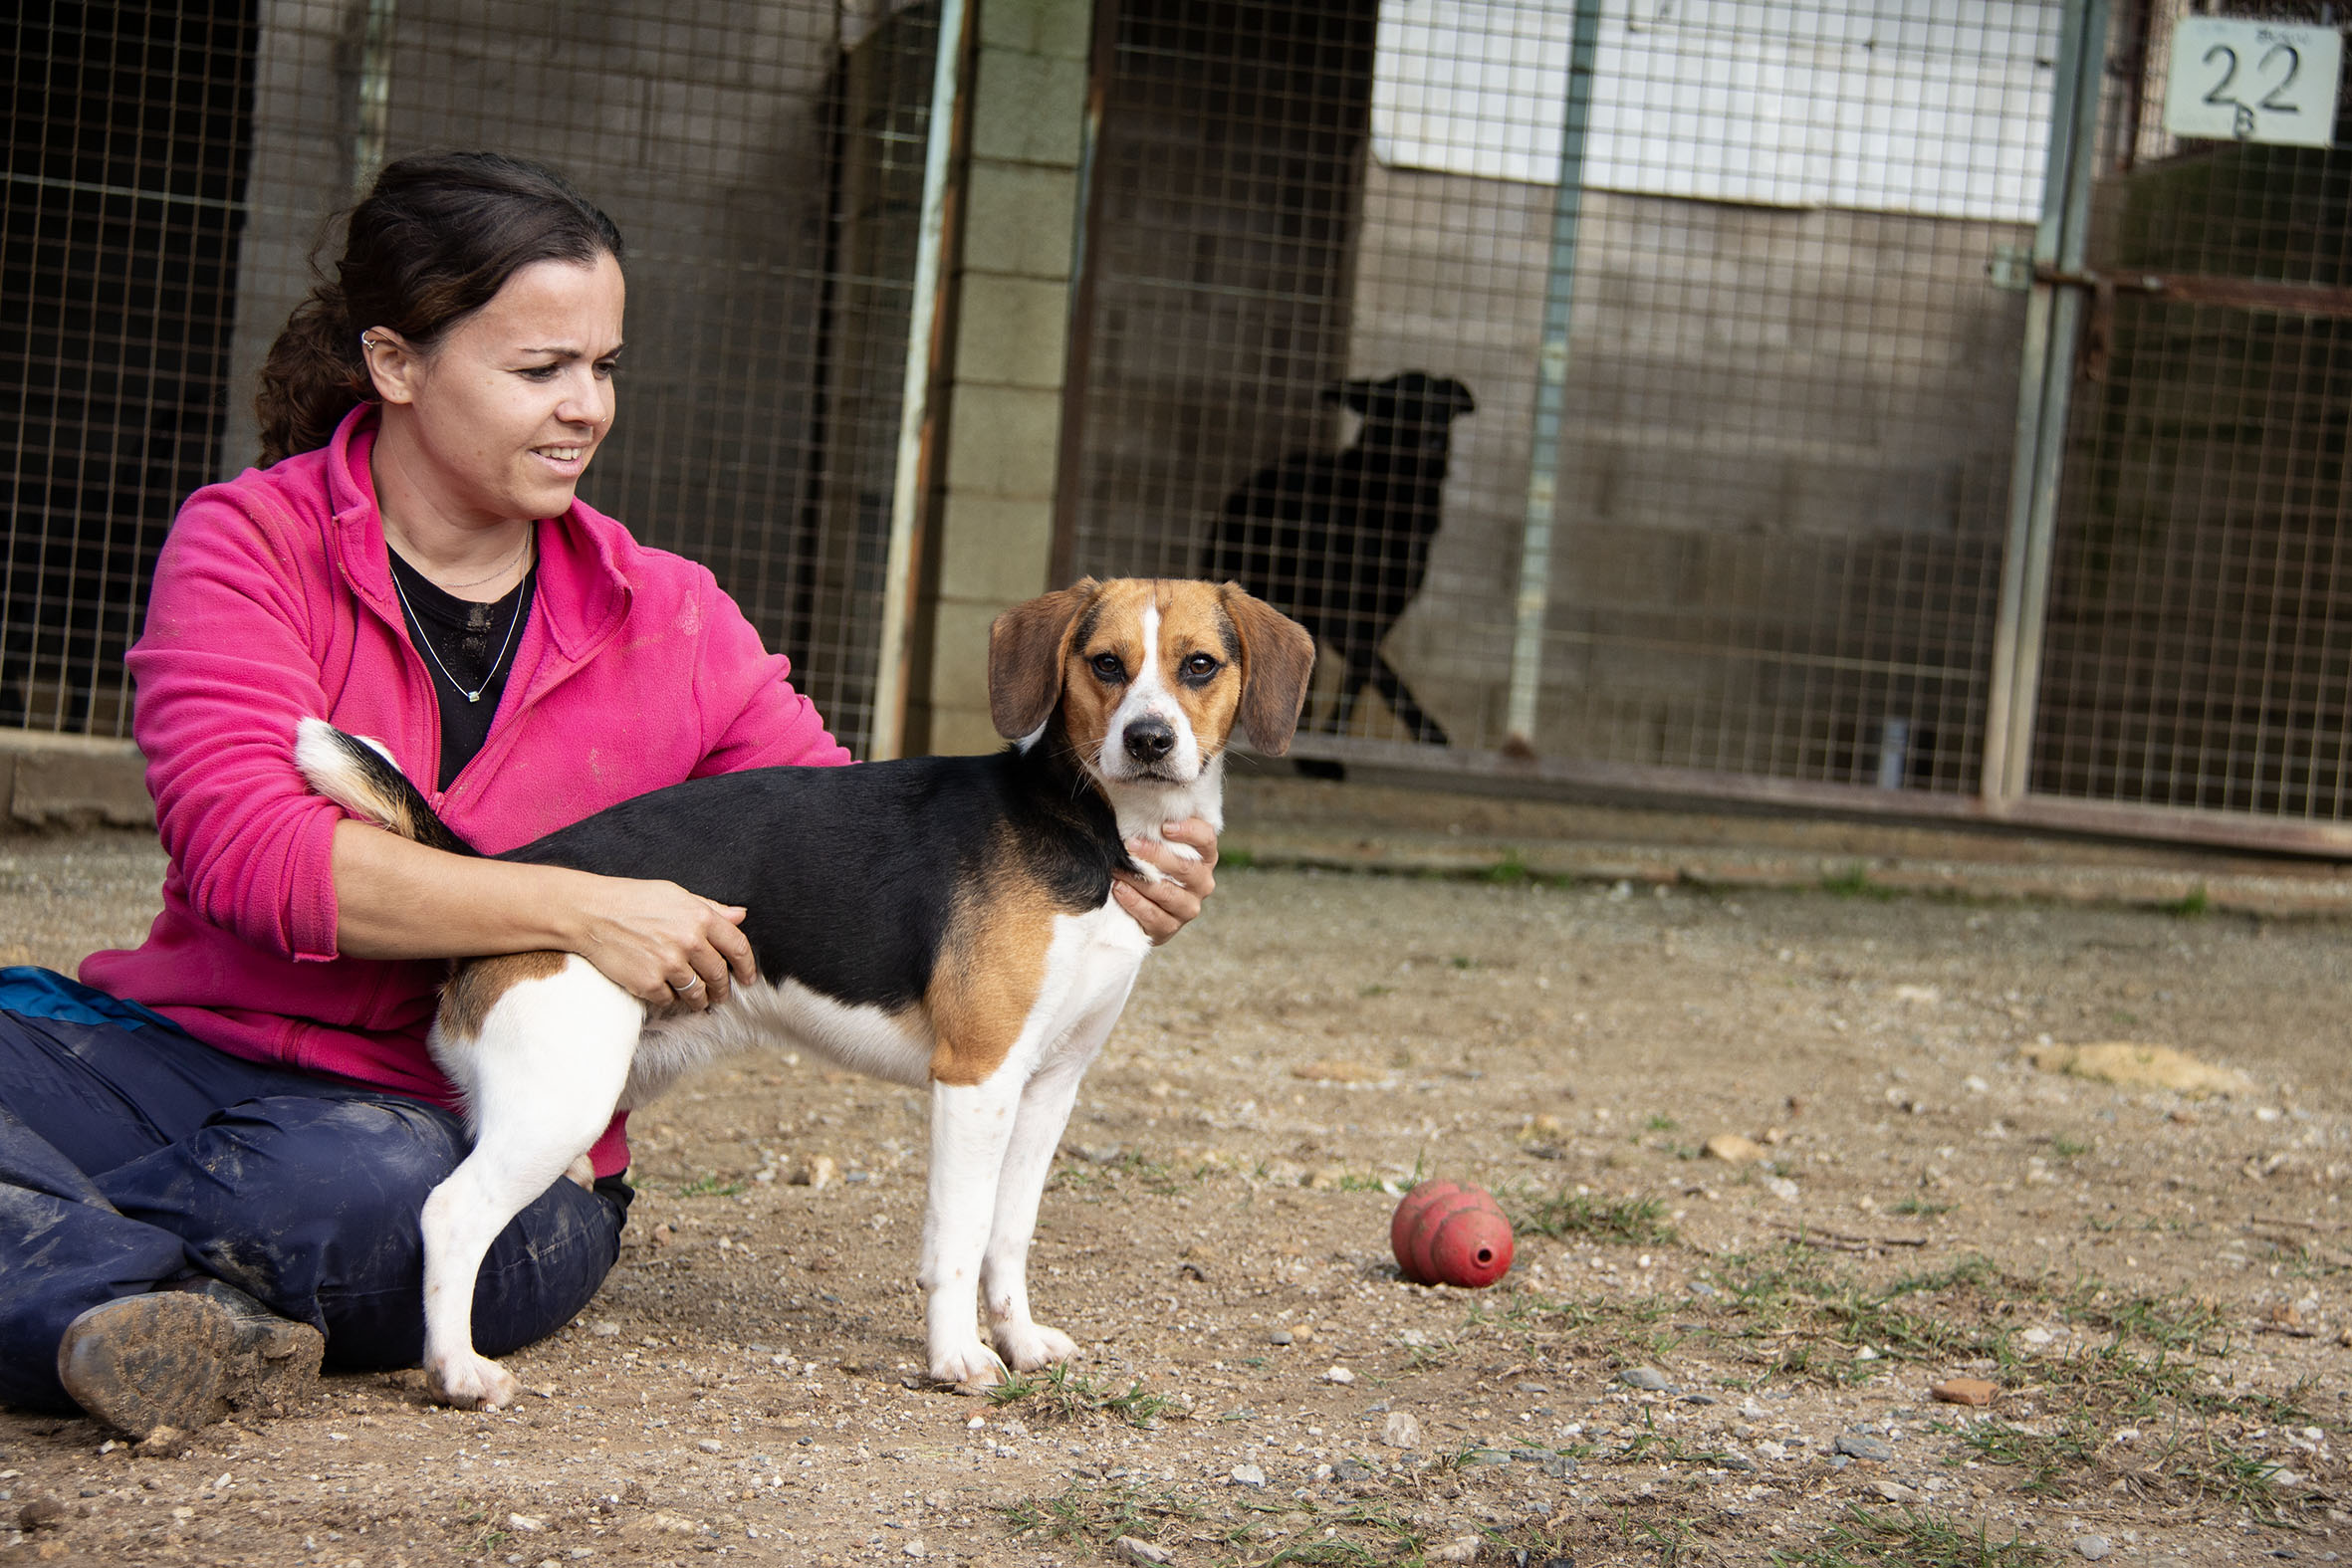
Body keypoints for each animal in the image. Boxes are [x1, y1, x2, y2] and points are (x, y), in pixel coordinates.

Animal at [295, 578, 1314, 1409]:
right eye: (1106, 664)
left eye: (1199, 665)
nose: (1149, 740)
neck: (1092, 825)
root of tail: (504, 865)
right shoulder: (976, 1078)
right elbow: (957, 1240)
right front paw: (958, 1359)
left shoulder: (1047, 1087)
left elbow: (1008, 1237)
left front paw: (1020, 1340)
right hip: (563, 1101)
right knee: (447, 1215)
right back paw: (457, 1372)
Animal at [1205, 371, 1475, 748]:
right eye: (1393, 406)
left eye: (1441, 407)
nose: (1432, 436)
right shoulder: (1340, 617)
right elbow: (1388, 679)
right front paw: (1432, 734)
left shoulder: (1381, 616)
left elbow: (1361, 679)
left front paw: (1334, 735)